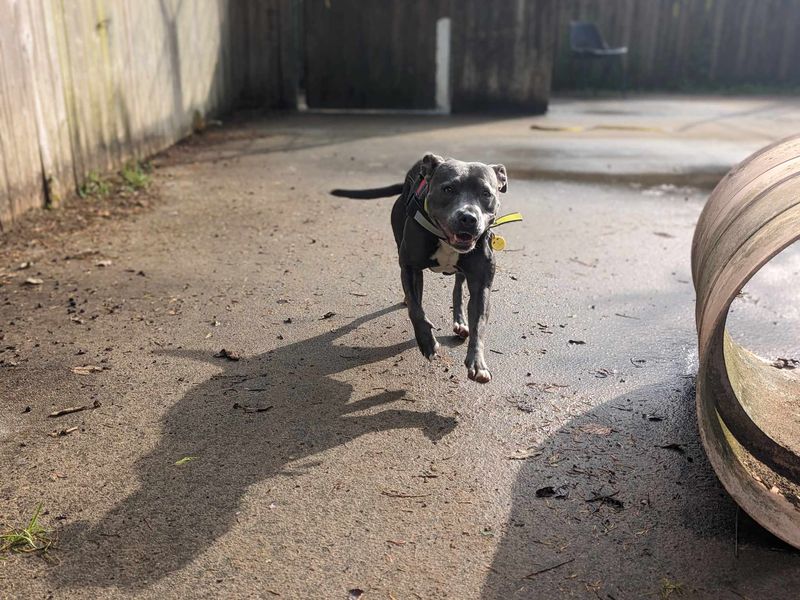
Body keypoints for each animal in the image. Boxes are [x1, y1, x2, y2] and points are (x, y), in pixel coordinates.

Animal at [332, 152, 510, 382]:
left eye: (486, 193)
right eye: (448, 189)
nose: (468, 218)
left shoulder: (481, 284)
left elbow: (478, 324)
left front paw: (478, 363)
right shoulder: (409, 267)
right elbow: (416, 310)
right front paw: (426, 342)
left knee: (458, 287)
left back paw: (460, 321)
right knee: (416, 297)